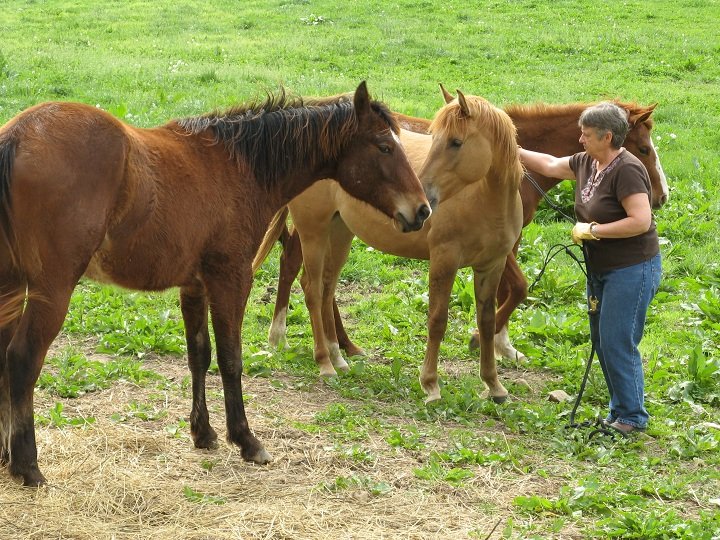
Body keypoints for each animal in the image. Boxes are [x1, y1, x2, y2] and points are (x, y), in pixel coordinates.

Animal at [0, 81, 432, 486]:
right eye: (384, 147)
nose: (422, 210)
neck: (239, 165)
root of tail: (17, 135)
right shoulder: (232, 278)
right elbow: (230, 359)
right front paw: (246, 440)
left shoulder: (194, 286)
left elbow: (199, 355)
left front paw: (203, 433)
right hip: (52, 291)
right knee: (22, 360)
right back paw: (27, 466)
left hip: (11, 287)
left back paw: (6, 457)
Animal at [254, 89, 524, 403]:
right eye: (433, 138)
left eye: (456, 142)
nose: (424, 198)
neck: (484, 199)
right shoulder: (444, 260)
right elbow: (437, 320)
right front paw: (430, 384)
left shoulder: (492, 266)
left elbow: (487, 321)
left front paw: (493, 384)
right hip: (314, 232)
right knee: (311, 289)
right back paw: (323, 361)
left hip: (340, 231)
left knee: (326, 290)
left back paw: (338, 357)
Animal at [264, 92, 668, 364]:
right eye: (644, 149)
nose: (661, 196)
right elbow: (519, 288)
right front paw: (483, 339)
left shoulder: (507, 242)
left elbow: (508, 290)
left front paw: (502, 345)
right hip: (318, 225)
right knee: (300, 270)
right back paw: (287, 335)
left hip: (339, 227)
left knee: (317, 279)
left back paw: (343, 345)